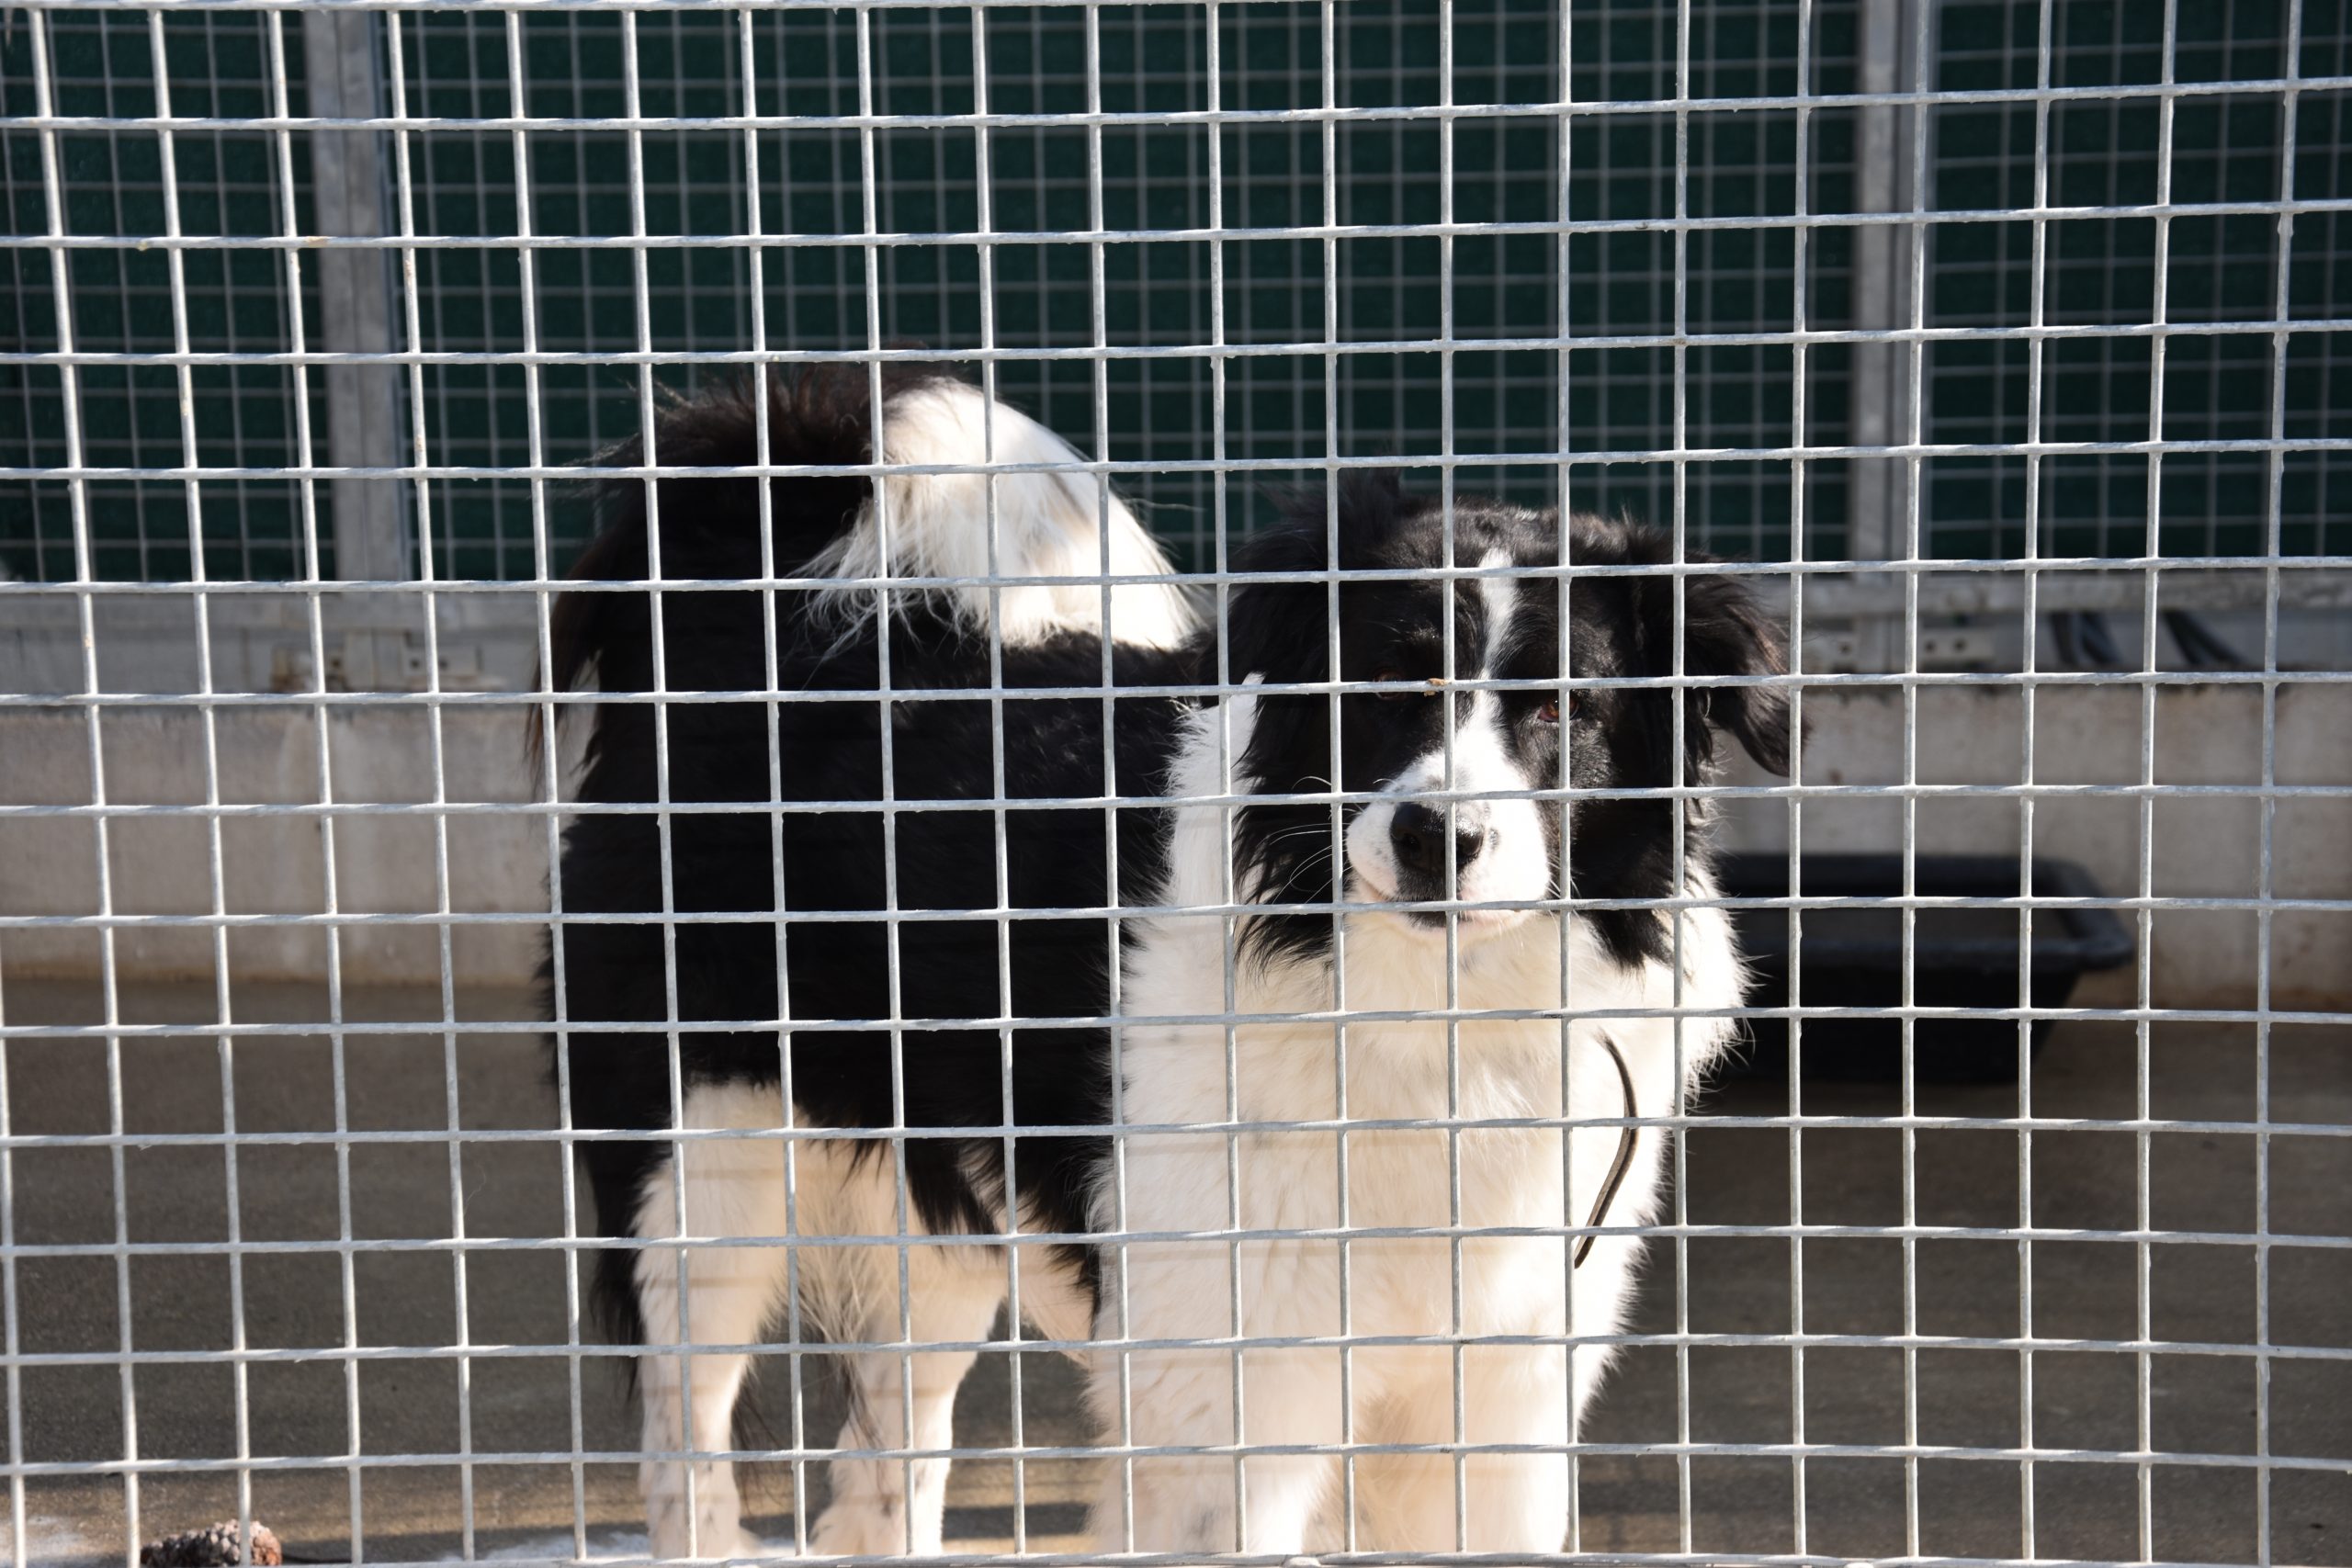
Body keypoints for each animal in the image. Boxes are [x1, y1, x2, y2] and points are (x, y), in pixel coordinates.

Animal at [550, 368, 1787, 1561]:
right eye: (1378, 689)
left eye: (1562, 709)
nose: (1434, 837)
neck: (1421, 1006)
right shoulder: (1232, 1395)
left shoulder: (1503, 1390)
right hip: (703, 1180)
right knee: (684, 1451)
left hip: (934, 1228)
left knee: (878, 1480)